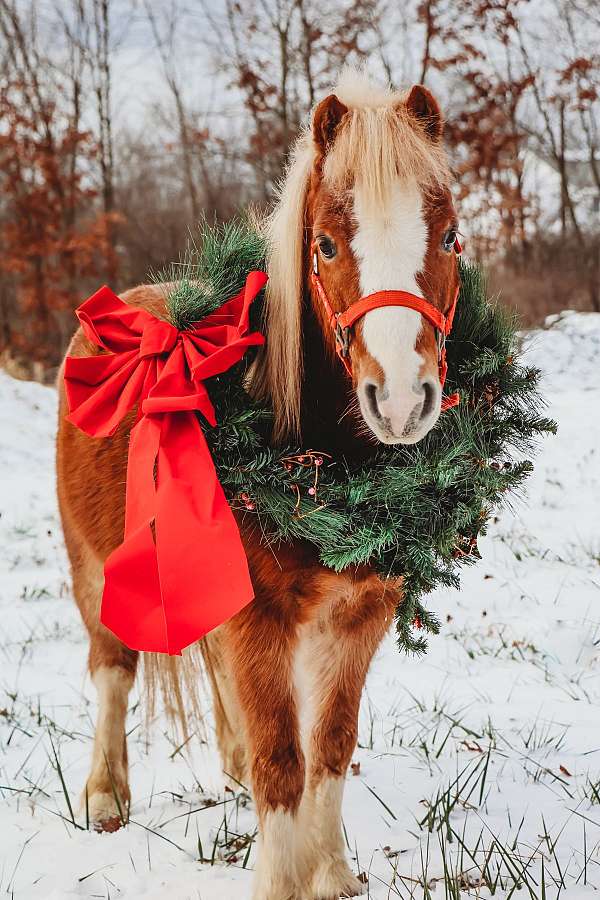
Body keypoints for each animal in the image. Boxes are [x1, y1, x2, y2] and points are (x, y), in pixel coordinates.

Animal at [56, 70, 460, 900]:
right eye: (326, 244)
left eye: (447, 236)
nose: (403, 401)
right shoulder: (260, 619)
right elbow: (284, 764)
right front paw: (284, 878)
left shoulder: (360, 617)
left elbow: (331, 748)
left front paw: (331, 873)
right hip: (93, 568)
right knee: (112, 672)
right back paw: (106, 796)